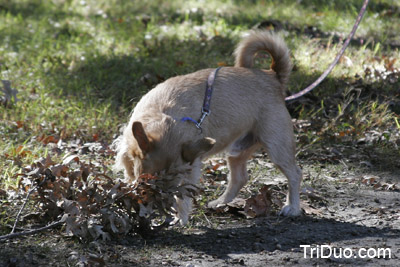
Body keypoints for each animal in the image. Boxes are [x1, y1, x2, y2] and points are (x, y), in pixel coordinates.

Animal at [115, 30, 304, 225]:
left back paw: (292, 207)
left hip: (277, 148)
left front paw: (179, 218)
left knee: (295, 174)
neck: (163, 114)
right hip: (236, 152)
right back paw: (221, 202)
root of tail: (272, 76)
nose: (149, 208)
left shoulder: (190, 168)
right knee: (240, 178)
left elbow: (183, 197)